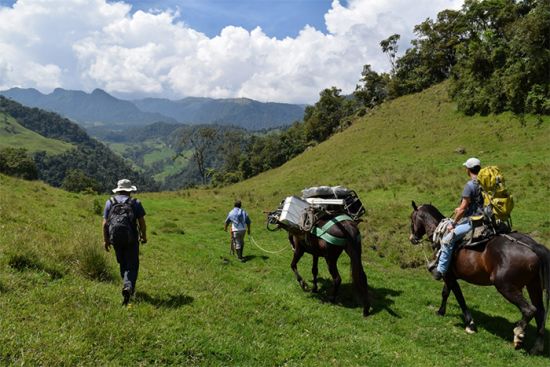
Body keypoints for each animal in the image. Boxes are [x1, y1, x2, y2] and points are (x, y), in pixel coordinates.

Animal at [270, 187, 374, 316]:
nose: (272, 216)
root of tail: (348, 226)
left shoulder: (299, 250)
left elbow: (293, 265)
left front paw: (304, 285)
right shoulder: (315, 254)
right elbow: (314, 270)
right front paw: (315, 288)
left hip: (330, 258)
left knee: (337, 278)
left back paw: (332, 299)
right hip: (355, 253)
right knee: (362, 277)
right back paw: (366, 308)